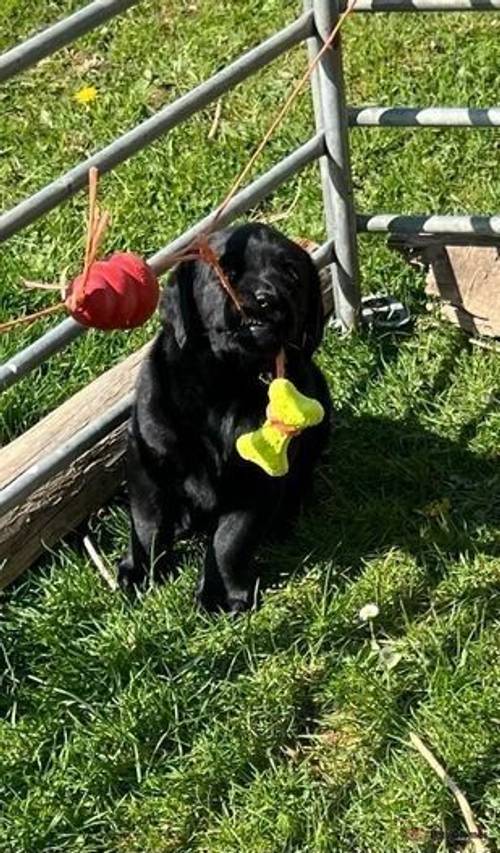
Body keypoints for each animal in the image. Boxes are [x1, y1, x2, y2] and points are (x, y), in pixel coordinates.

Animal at [118, 225, 332, 612]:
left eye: (292, 273)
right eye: (226, 272)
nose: (267, 299)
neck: (228, 380)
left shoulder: (256, 480)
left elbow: (230, 541)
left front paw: (222, 595)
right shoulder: (146, 456)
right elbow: (146, 521)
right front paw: (140, 570)